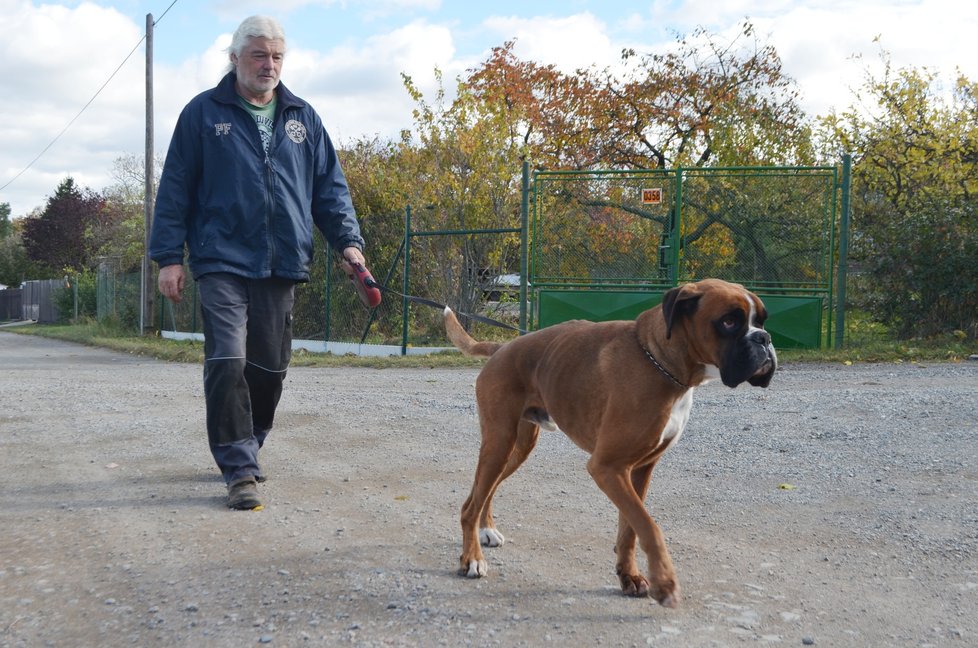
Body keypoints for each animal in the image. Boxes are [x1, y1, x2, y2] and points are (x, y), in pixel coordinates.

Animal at [444, 278, 776, 608]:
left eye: (761, 320)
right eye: (729, 321)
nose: (764, 338)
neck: (660, 362)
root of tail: (503, 348)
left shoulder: (639, 469)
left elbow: (630, 529)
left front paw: (630, 576)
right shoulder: (607, 467)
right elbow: (649, 526)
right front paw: (665, 582)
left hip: (517, 448)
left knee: (484, 490)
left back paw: (486, 531)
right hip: (499, 442)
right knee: (470, 505)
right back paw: (472, 558)